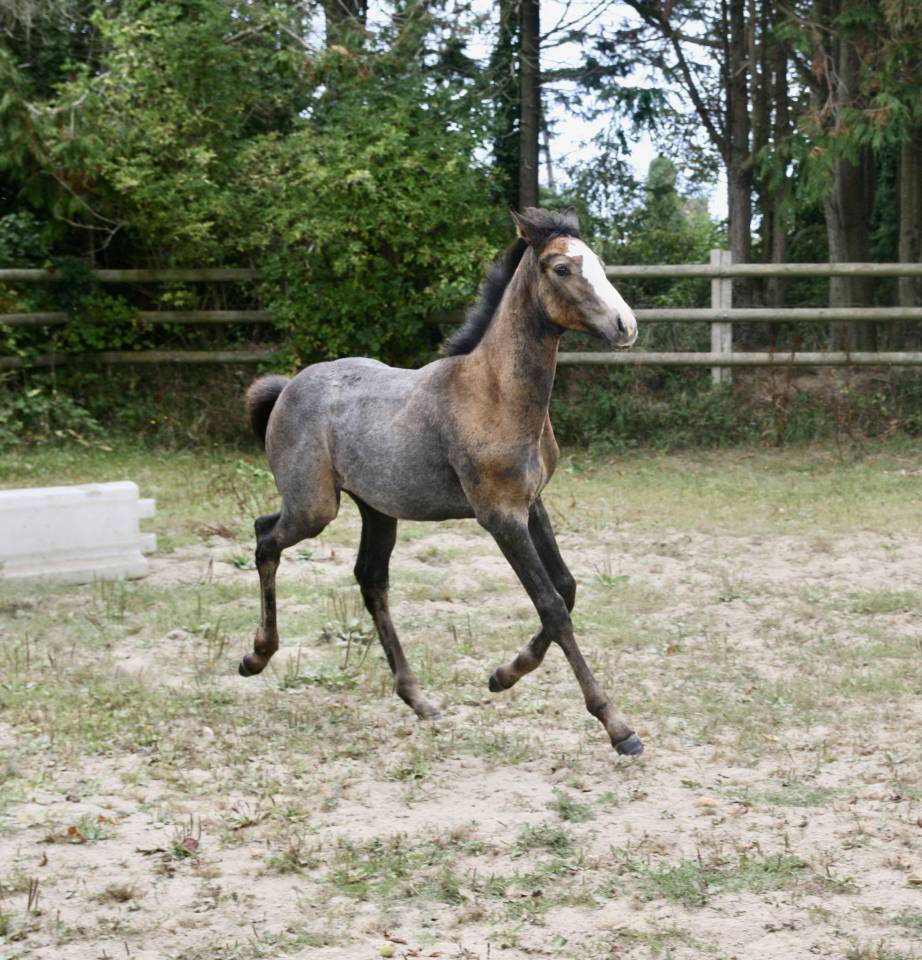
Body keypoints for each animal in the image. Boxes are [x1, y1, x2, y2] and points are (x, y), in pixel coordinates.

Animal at [238, 207, 644, 755]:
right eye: (561, 267)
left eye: (598, 262)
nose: (626, 326)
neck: (494, 394)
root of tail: (285, 389)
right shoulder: (499, 516)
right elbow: (553, 606)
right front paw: (617, 726)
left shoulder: (532, 504)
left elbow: (566, 586)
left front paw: (503, 675)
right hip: (314, 507)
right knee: (265, 537)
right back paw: (256, 656)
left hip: (376, 508)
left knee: (370, 578)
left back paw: (418, 699)